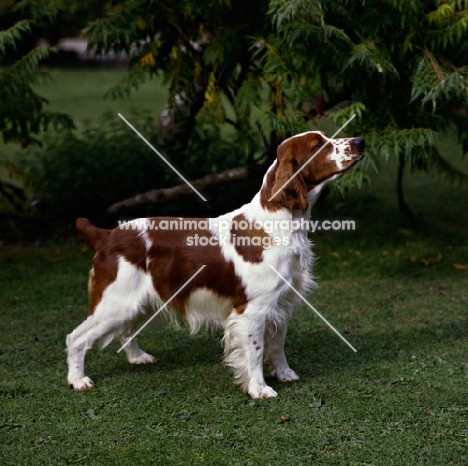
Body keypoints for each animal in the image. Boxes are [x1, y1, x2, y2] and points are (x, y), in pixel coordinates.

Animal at [66, 130, 366, 396]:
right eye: (319, 145)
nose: (360, 141)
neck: (281, 223)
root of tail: (106, 235)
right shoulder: (253, 310)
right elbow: (256, 351)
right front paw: (259, 389)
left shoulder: (281, 303)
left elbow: (277, 345)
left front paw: (283, 374)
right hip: (117, 302)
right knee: (76, 337)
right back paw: (78, 380)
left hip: (139, 301)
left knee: (126, 330)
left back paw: (138, 357)